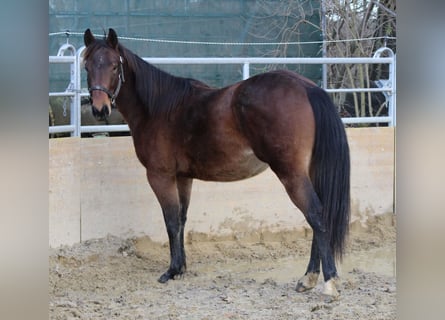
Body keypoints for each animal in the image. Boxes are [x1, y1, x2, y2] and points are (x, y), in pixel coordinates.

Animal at [81, 28, 348, 298]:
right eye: (87, 66)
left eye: (114, 66)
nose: (100, 109)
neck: (158, 108)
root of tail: (305, 86)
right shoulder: (183, 177)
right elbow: (181, 219)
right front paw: (181, 268)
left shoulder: (160, 176)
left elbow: (170, 221)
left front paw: (171, 271)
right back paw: (308, 278)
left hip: (291, 174)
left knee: (316, 215)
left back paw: (328, 280)